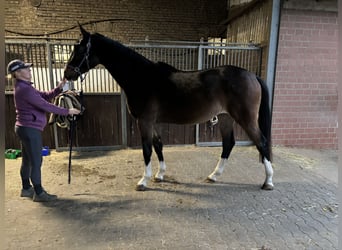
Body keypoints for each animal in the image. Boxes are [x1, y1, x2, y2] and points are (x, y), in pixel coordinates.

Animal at [62, 25, 274, 190]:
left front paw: (143, 181)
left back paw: (268, 182)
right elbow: (158, 145)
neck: (141, 77)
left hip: (245, 118)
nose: (67, 74)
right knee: (228, 143)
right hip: (225, 117)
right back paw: (214, 175)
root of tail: (252, 75)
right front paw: (160, 175)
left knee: (261, 142)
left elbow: (147, 149)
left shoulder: (144, 121)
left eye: (80, 50)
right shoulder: (152, 122)